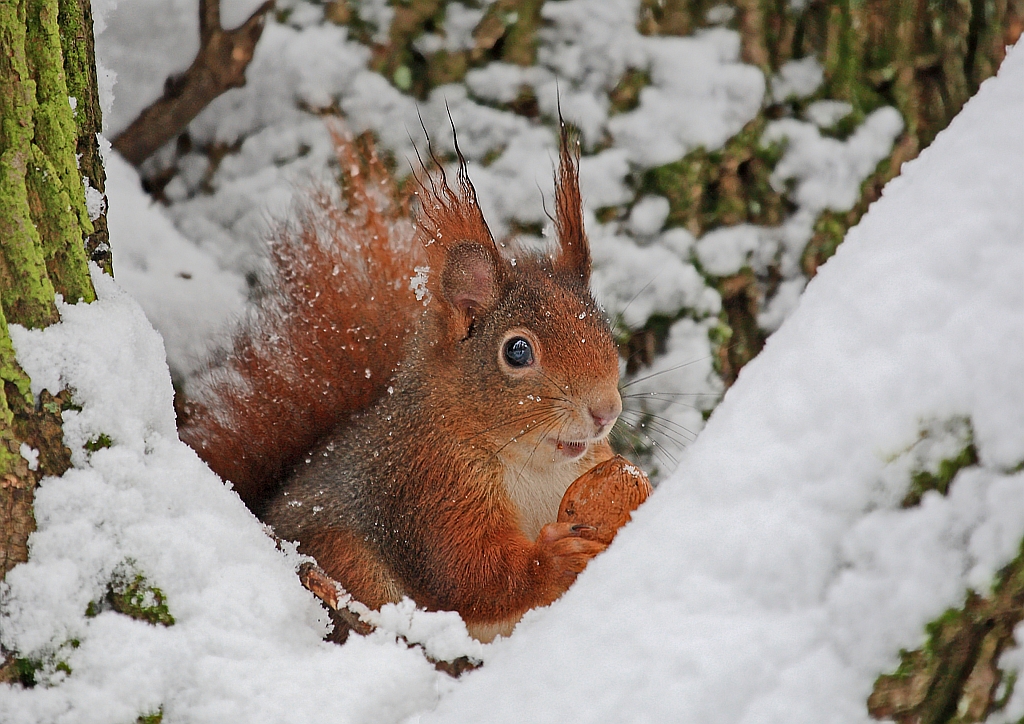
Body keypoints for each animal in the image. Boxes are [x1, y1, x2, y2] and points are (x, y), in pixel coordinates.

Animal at [179, 124, 618, 639]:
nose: (606, 411)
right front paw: (554, 559)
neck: (532, 463)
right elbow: (470, 572)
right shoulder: (429, 489)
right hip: (345, 560)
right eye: (517, 351)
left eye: (606, 328)